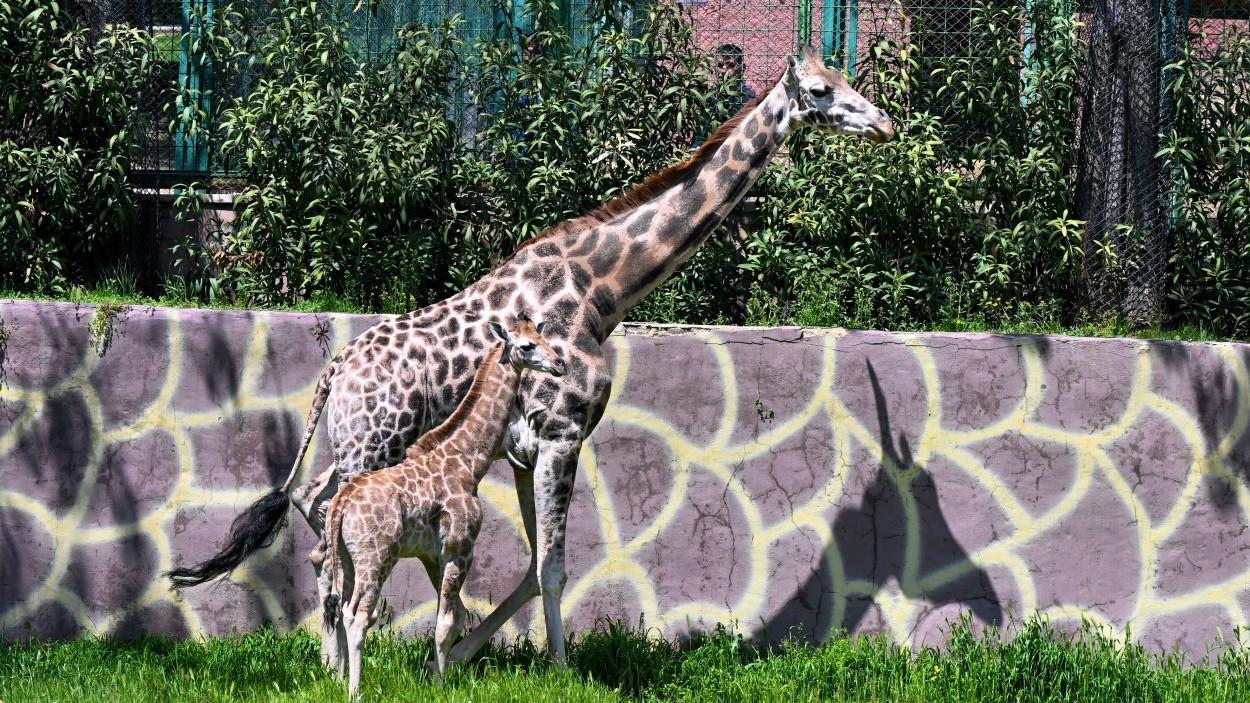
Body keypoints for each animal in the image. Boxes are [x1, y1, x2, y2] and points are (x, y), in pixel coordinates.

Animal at [320, 317, 564, 695]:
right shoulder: (459, 547)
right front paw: (440, 684)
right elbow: (447, 619)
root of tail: (340, 505)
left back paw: (341, 678)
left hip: (345, 557)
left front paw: (439, 673)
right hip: (376, 557)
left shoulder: (434, 553)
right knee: (359, 615)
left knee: (343, 607)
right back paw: (355, 691)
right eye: (527, 345)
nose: (559, 365)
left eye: (543, 336)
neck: (468, 462)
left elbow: (457, 615)